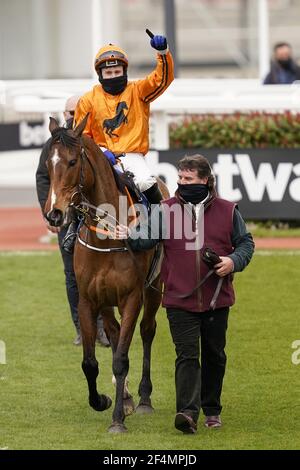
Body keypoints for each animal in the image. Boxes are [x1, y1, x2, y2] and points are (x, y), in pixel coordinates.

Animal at [44, 114, 169, 434]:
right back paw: (125, 396)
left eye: (72, 161)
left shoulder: (132, 298)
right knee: (113, 333)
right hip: (106, 301)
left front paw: (117, 421)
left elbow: (122, 358)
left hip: (154, 290)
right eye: (48, 163)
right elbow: (90, 362)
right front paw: (103, 400)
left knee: (147, 331)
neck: (107, 235)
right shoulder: (88, 300)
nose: (54, 214)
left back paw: (144, 398)